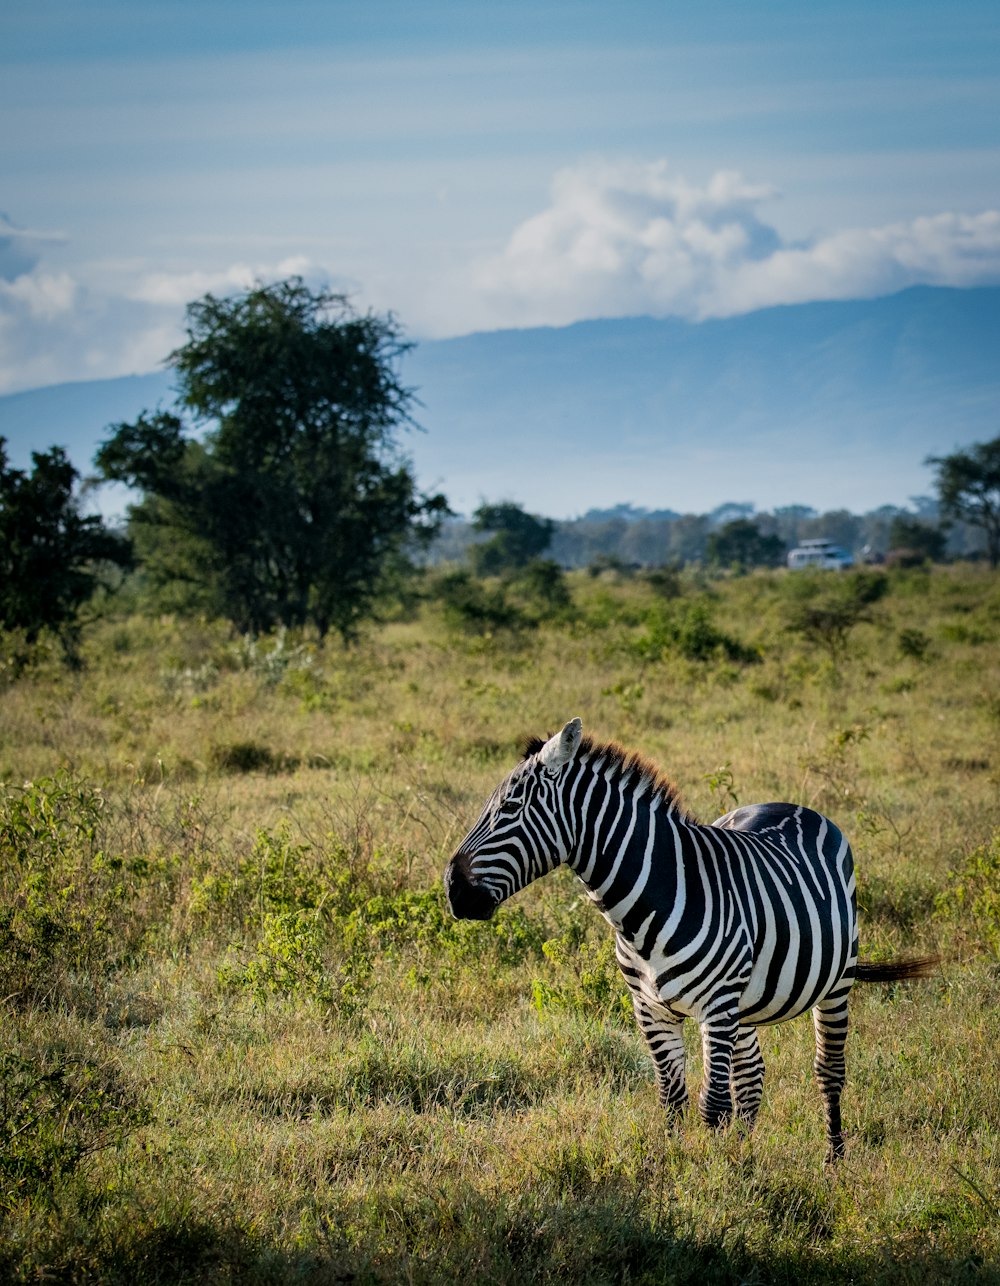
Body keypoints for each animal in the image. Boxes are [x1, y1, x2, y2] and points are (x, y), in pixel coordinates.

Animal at [444, 720, 935, 1162]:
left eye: (511, 806)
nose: (452, 889)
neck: (647, 904)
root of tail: (794, 805)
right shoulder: (650, 1008)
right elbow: (672, 1098)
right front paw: (678, 1169)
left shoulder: (715, 1006)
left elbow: (711, 1106)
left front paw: (712, 1184)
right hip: (745, 1002)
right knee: (750, 1075)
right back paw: (745, 1153)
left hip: (833, 983)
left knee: (827, 1071)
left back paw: (833, 1161)